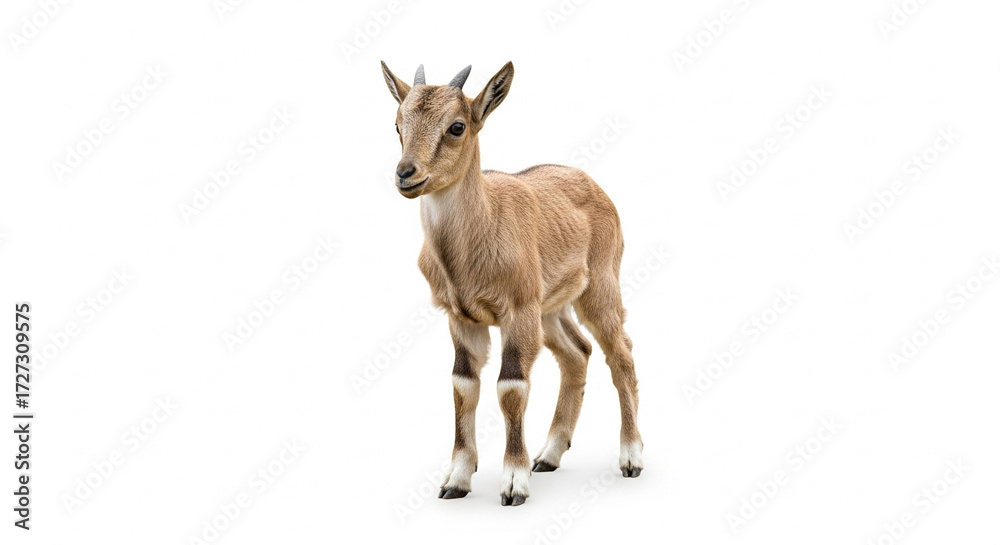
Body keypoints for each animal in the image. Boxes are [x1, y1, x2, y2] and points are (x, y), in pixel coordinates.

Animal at [381, 61, 643, 507]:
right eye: (397, 124)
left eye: (456, 126)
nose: (405, 174)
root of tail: (595, 186)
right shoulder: (462, 318)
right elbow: (463, 386)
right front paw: (456, 480)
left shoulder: (517, 310)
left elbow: (511, 387)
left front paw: (513, 484)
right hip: (550, 307)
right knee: (577, 352)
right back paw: (550, 455)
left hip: (599, 287)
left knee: (620, 354)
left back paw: (630, 457)